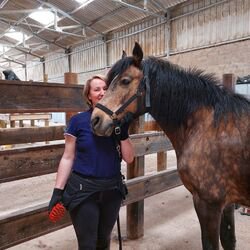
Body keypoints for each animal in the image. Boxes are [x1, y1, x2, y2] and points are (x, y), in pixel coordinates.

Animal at [90, 42, 250, 249]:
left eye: (125, 81)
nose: (95, 120)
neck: (209, 125)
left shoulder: (208, 203)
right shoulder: (228, 202)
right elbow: (229, 240)